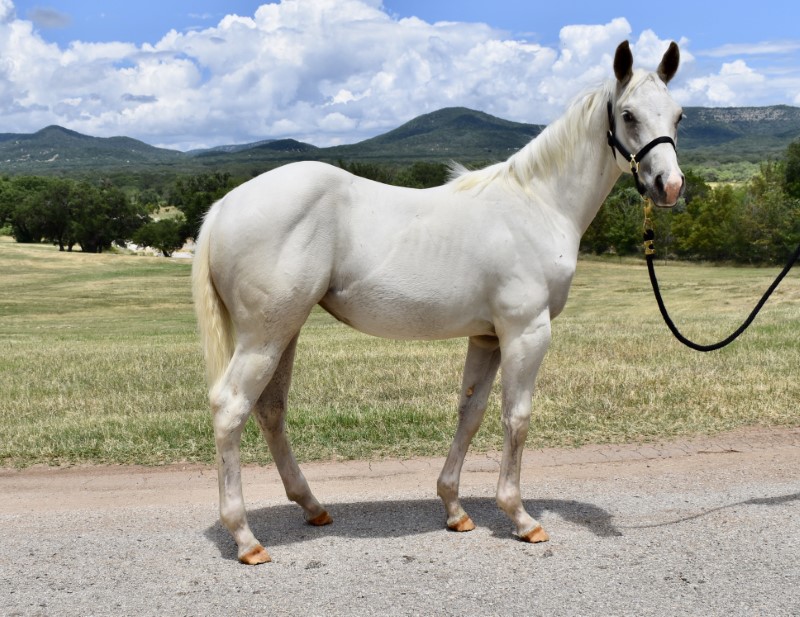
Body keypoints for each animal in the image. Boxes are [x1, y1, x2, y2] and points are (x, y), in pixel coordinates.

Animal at [192, 41, 680, 564]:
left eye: (679, 115)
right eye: (628, 115)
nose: (669, 186)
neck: (538, 205)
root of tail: (223, 207)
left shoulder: (487, 337)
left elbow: (471, 414)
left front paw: (454, 509)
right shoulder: (526, 331)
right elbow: (517, 418)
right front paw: (521, 518)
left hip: (285, 332)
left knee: (270, 410)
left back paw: (312, 506)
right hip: (265, 335)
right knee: (231, 408)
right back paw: (245, 538)